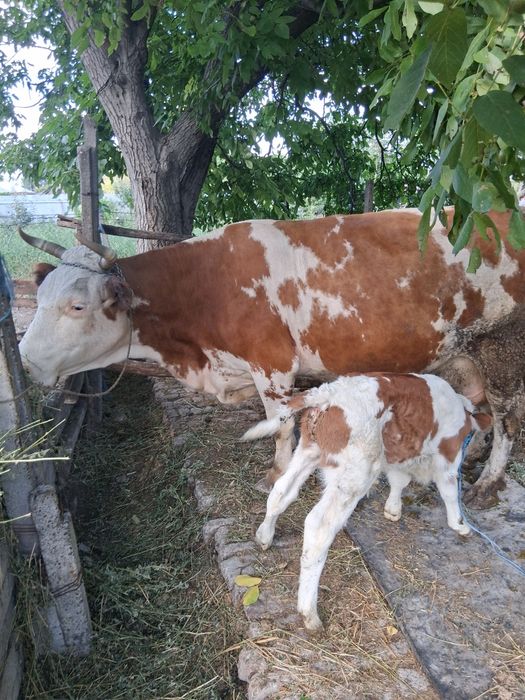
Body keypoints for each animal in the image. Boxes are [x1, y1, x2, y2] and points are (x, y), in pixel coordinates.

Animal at [18, 208, 525, 509]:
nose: (23, 359)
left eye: (77, 306)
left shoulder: (273, 365)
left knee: (506, 421)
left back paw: (487, 483)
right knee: (478, 410)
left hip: (502, 347)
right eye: (39, 297)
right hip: (464, 356)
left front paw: (276, 474)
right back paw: (470, 458)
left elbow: (281, 424)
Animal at [240, 373, 492, 631]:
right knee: (319, 528)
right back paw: (309, 612)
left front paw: (393, 509)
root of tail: (328, 391)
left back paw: (264, 537)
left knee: (280, 492)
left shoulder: (400, 455)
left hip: (308, 452)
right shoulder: (447, 459)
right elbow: (449, 491)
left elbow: (399, 480)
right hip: (355, 474)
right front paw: (459, 524)